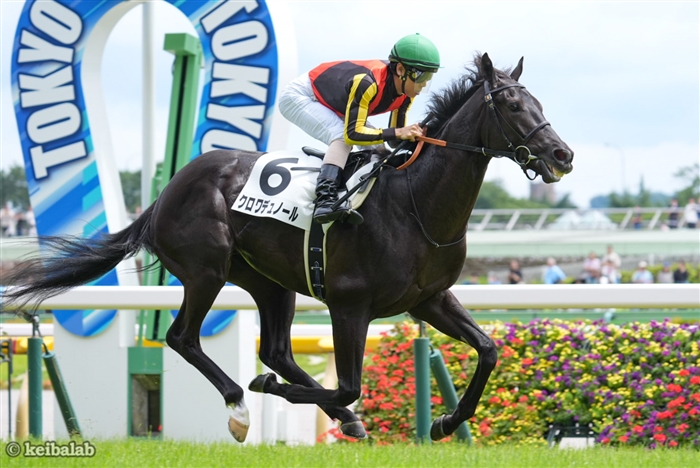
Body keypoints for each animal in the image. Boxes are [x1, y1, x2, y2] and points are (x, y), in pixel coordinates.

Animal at [3, 52, 573, 443]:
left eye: (541, 103)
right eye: (513, 105)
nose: (562, 155)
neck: (416, 203)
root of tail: (166, 191)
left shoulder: (429, 299)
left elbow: (488, 348)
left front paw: (446, 422)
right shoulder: (350, 305)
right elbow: (347, 384)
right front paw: (270, 391)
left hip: (271, 282)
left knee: (275, 349)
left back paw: (338, 419)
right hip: (206, 272)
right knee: (183, 338)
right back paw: (240, 405)